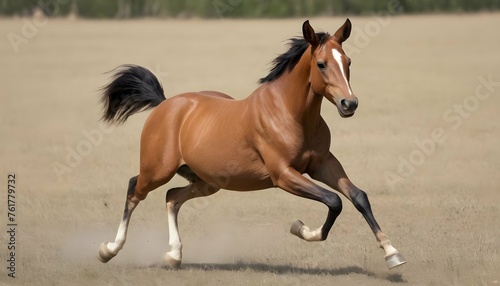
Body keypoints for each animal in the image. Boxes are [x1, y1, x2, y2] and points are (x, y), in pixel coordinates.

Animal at [96, 19, 406, 270]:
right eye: (321, 64)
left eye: (348, 62)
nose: (349, 104)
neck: (291, 113)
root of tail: (165, 104)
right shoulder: (284, 175)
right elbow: (334, 200)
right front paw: (302, 229)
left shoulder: (323, 164)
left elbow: (358, 197)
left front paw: (392, 253)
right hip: (157, 170)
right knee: (134, 190)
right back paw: (109, 250)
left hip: (207, 182)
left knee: (172, 197)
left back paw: (173, 255)